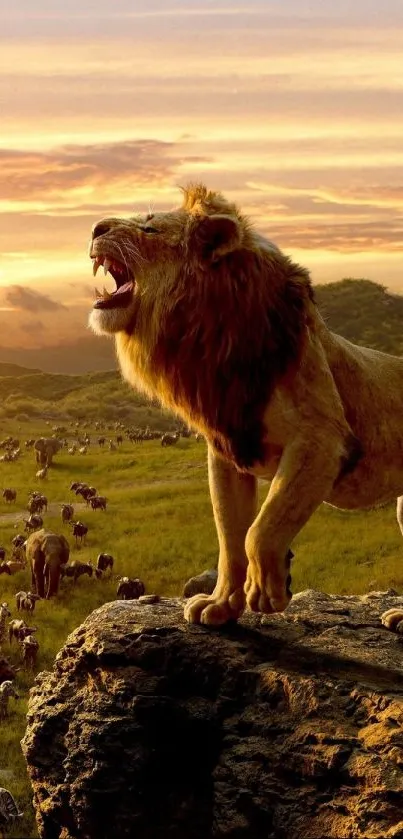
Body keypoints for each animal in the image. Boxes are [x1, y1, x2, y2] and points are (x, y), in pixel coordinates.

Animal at [90, 184, 403, 632]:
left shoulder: (322, 440)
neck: (209, 338)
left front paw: (269, 591)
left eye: (149, 228)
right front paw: (220, 606)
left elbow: (262, 528)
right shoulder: (226, 449)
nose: (95, 228)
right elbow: (231, 537)